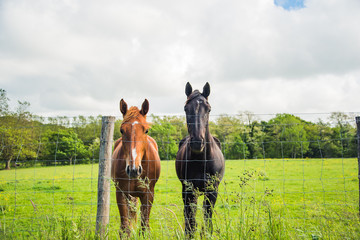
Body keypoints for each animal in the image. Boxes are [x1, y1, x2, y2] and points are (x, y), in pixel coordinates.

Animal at [110, 98, 160, 235]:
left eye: (146, 130)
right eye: (122, 130)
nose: (133, 170)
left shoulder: (148, 194)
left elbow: (144, 228)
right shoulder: (121, 193)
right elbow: (124, 228)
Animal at [175, 82, 225, 236]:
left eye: (208, 109)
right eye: (186, 108)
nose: (197, 143)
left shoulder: (212, 190)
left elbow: (207, 216)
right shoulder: (189, 189)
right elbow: (190, 218)